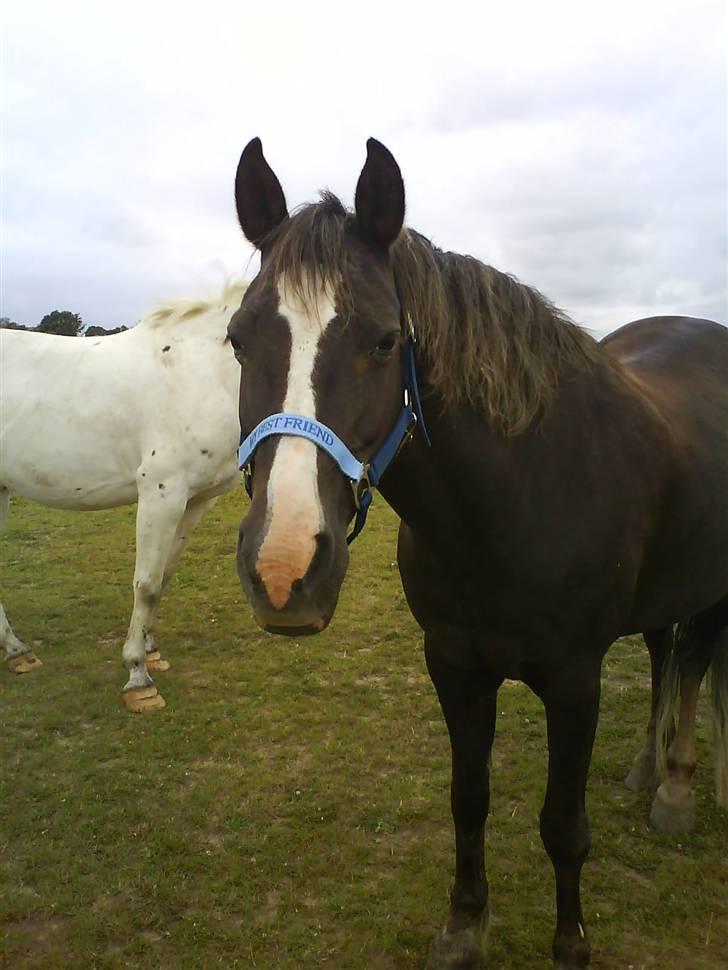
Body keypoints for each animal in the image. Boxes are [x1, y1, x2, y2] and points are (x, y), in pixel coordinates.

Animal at [228, 138, 728, 968]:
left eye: (384, 340)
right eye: (237, 339)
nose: (284, 569)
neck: (515, 496)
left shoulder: (575, 680)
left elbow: (563, 827)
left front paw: (570, 945)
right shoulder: (454, 663)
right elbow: (469, 798)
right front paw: (465, 923)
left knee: (691, 665)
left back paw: (678, 787)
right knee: (665, 654)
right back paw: (646, 769)